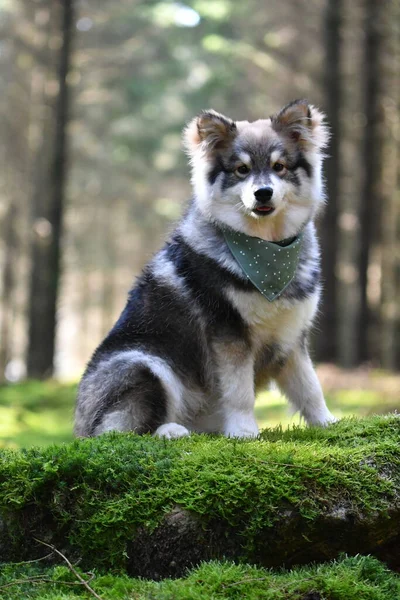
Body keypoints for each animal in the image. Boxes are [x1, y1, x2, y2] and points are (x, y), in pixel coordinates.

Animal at [74, 96, 334, 438]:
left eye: (279, 166)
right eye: (241, 169)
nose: (262, 192)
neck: (268, 251)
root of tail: (79, 423)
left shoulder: (291, 337)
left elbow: (310, 388)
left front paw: (328, 422)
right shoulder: (228, 334)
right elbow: (239, 391)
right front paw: (243, 431)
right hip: (144, 364)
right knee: (117, 432)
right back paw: (170, 431)